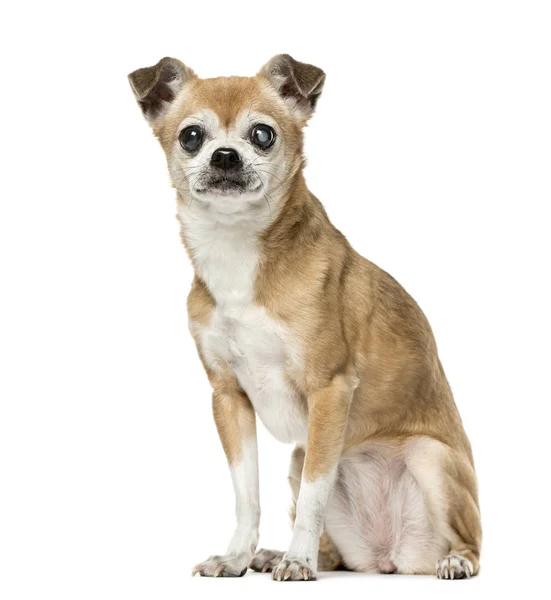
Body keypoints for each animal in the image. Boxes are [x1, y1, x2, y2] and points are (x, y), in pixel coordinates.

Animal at [129, 55, 484, 580]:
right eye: (192, 136)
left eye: (262, 134)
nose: (225, 156)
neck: (237, 253)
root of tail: (393, 558)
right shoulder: (229, 399)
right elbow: (246, 493)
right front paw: (238, 556)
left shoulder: (329, 391)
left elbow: (316, 495)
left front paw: (298, 560)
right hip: (298, 458)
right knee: (337, 552)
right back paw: (282, 554)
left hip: (428, 456)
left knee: (472, 543)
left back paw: (453, 560)